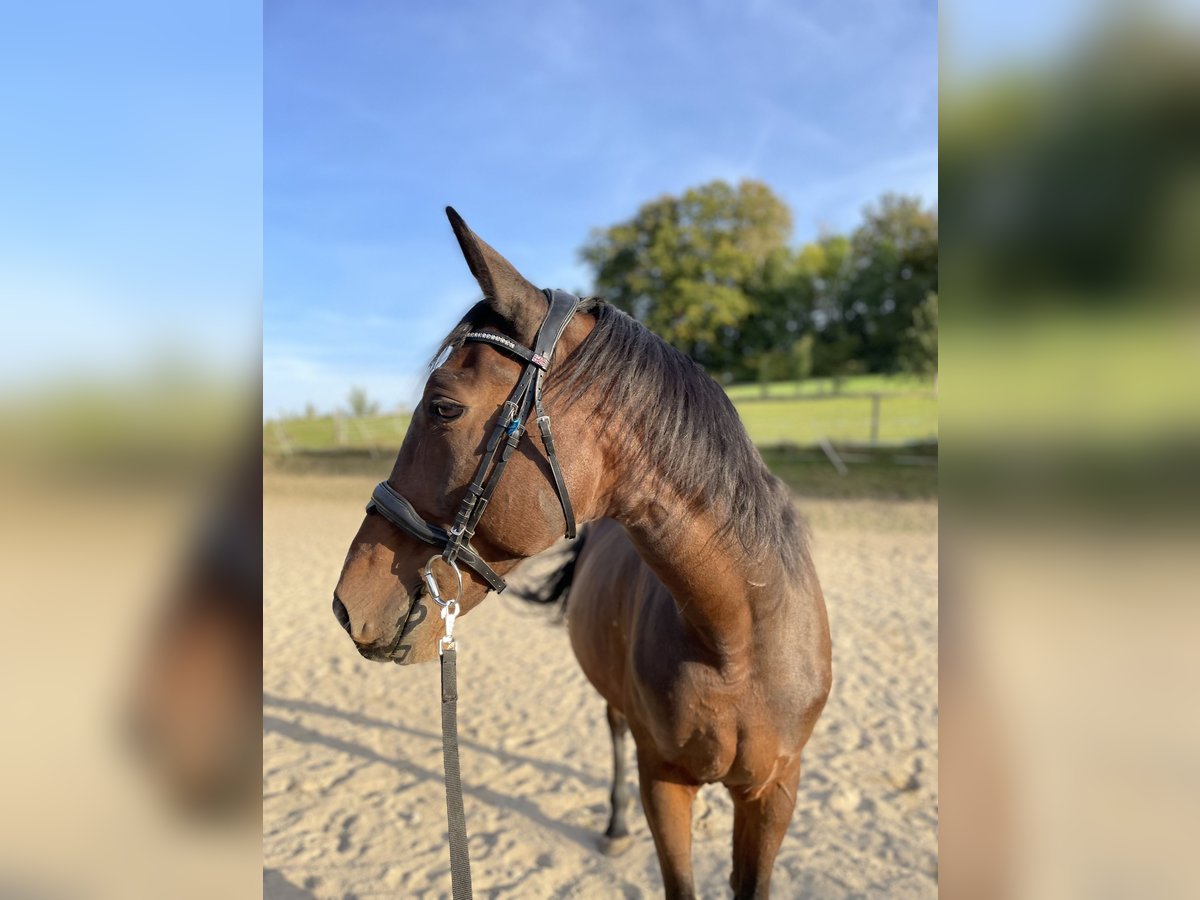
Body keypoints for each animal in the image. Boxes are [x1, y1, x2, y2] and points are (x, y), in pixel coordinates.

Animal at [333, 213, 830, 900]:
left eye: (444, 407)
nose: (346, 604)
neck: (738, 636)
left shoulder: (776, 790)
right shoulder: (664, 782)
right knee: (614, 730)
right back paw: (615, 825)